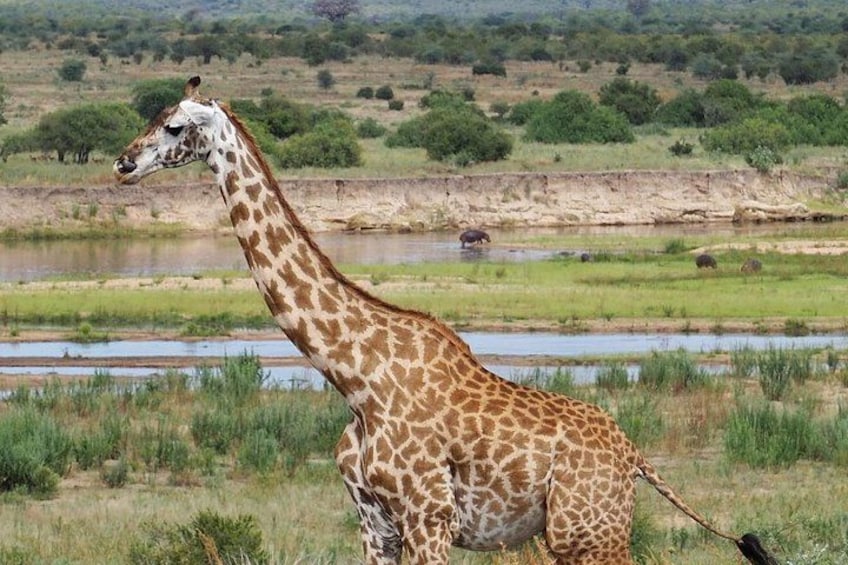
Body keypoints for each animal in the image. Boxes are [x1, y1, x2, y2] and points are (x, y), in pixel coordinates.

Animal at [113, 77, 778, 565]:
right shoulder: (375, 525)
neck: (353, 376)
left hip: (590, 532)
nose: (122, 163)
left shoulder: (429, 518)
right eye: (154, 115)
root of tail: (637, 456)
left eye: (174, 126)